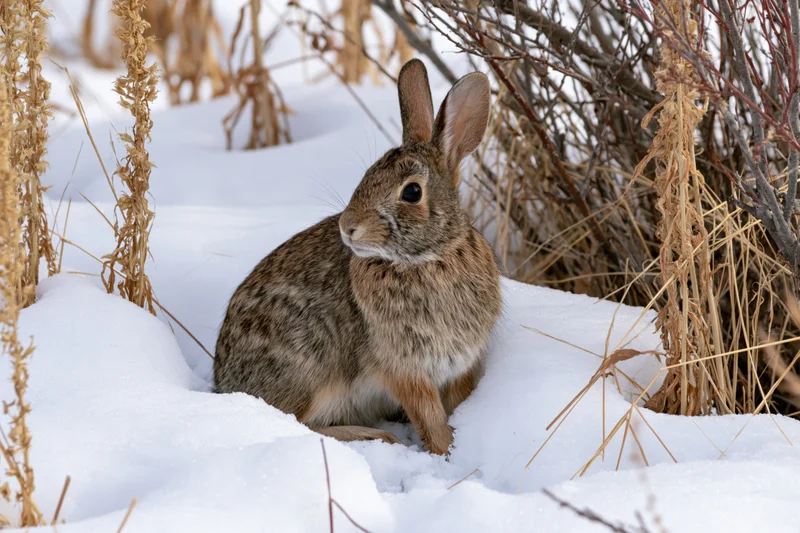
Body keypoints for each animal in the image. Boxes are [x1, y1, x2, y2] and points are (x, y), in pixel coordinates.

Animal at [214, 59, 501, 455]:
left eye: (412, 192)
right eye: (366, 176)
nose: (348, 226)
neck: (429, 258)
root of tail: (222, 383)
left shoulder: (459, 365)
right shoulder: (402, 369)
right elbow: (431, 419)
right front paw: (446, 452)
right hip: (312, 366)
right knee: (296, 422)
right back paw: (376, 436)